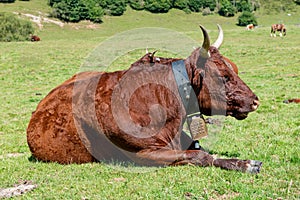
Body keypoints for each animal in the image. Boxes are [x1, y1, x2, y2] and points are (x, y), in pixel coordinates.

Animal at [28, 24, 262, 173]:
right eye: (224, 76)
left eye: (234, 69)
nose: (255, 100)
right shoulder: (141, 153)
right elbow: (199, 156)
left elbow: (204, 152)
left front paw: (244, 163)